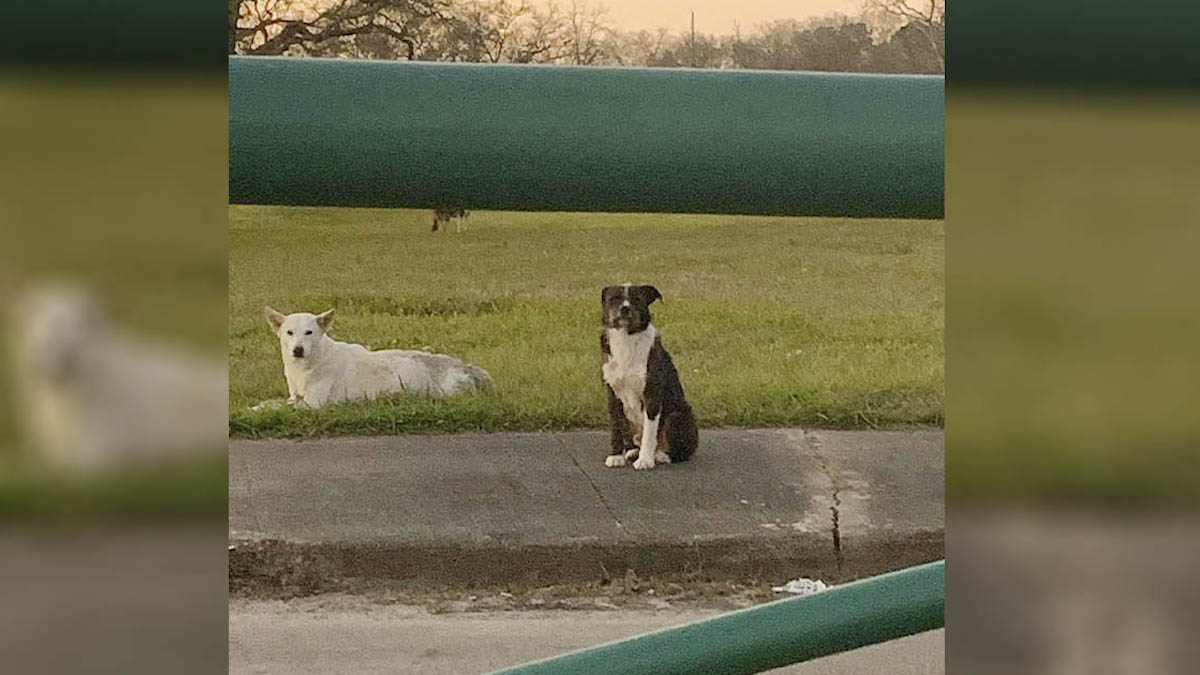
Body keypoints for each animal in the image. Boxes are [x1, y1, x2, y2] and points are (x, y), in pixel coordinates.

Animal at [262, 306, 492, 410]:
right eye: (290, 333)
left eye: (309, 332)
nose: (298, 350)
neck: (307, 366)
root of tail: (466, 366)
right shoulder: (295, 396)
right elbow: (271, 403)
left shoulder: (313, 403)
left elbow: (278, 406)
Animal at [597, 282, 696, 468]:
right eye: (614, 299)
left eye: (637, 299)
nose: (624, 309)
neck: (627, 339)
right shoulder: (612, 395)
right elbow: (615, 428)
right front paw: (615, 456)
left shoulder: (651, 394)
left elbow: (649, 433)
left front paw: (644, 460)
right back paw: (631, 452)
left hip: (676, 417)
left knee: (680, 452)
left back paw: (660, 455)